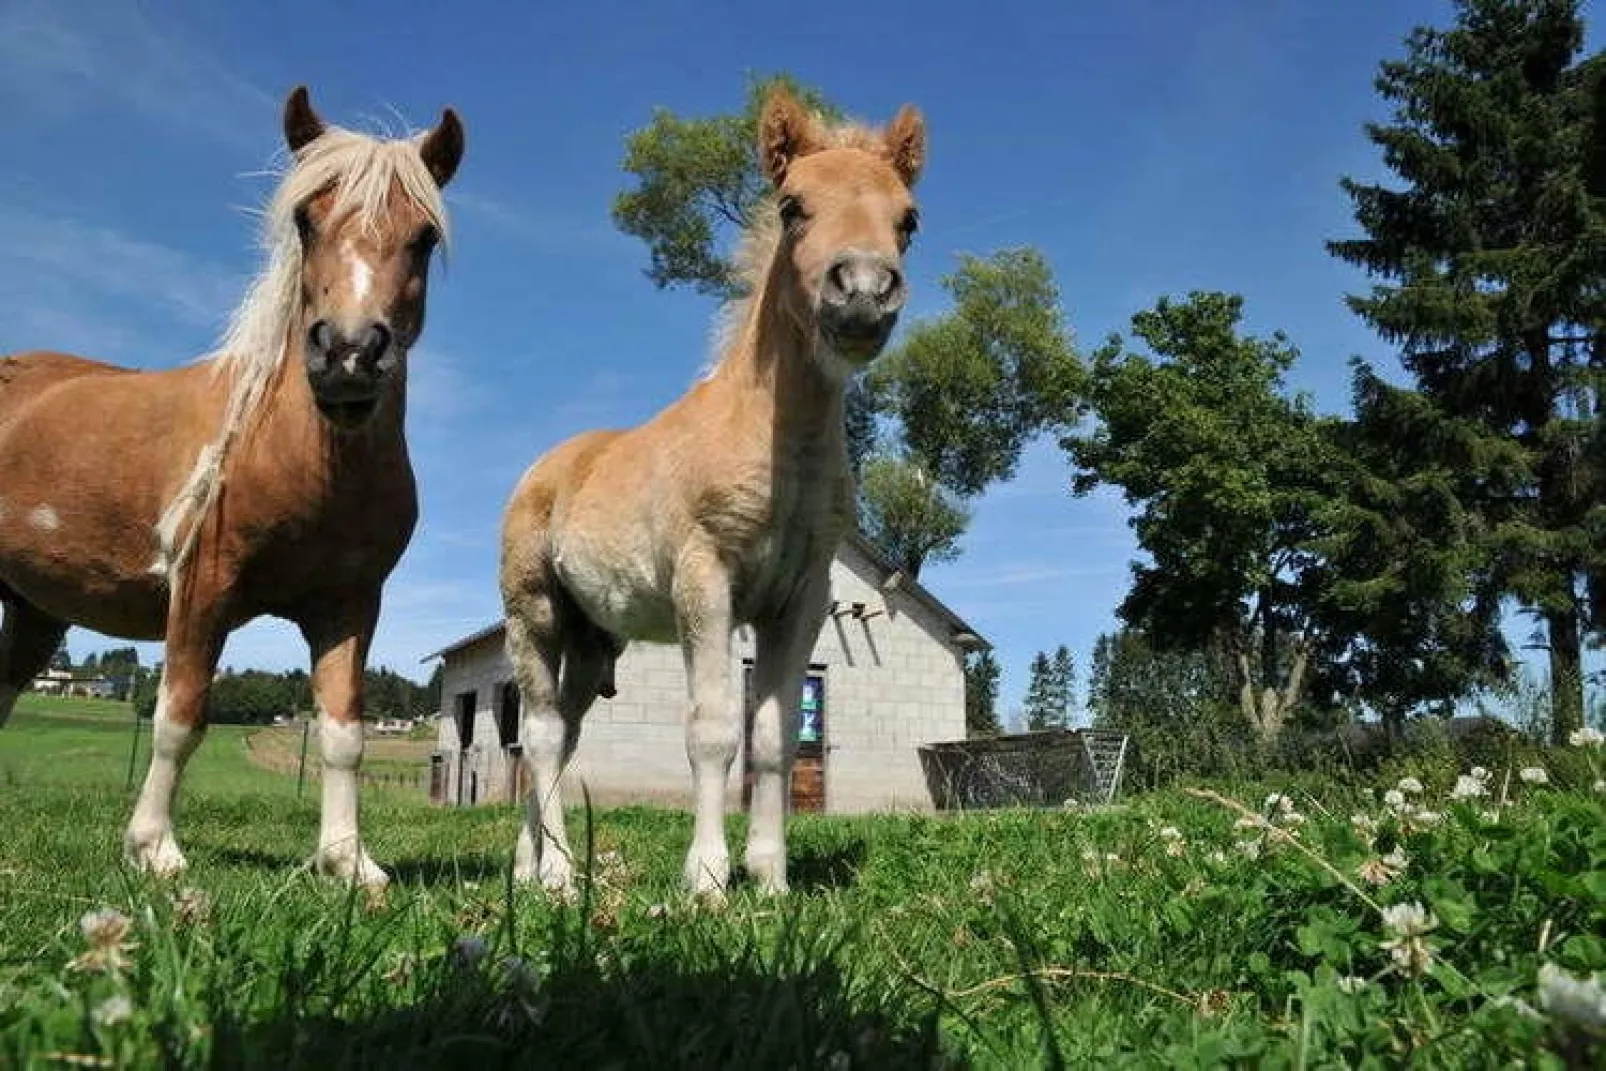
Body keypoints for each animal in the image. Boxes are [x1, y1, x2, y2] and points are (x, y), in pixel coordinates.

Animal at [0, 83, 465, 892]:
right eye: (307, 220)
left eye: (423, 238)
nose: (348, 353)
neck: (300, 460)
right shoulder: (203, 586)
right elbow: (180, 716)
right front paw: (154, 848)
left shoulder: (349, 606)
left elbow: (344, 733)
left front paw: (348, 861)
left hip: (31, 611)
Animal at [501, 87, 931, 899]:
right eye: (793, 206)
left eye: (908, 218)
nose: (863, 293)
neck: (779, 445)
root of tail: (545, 466)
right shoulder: (706, 579)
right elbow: (711, 731)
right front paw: (705, 879)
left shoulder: (801, 597)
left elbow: (772, 737)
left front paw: (770, 878)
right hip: (534, 610)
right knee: (539, 734)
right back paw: (560, 875)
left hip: (593, 639)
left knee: (566, 734)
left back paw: (525, 863)